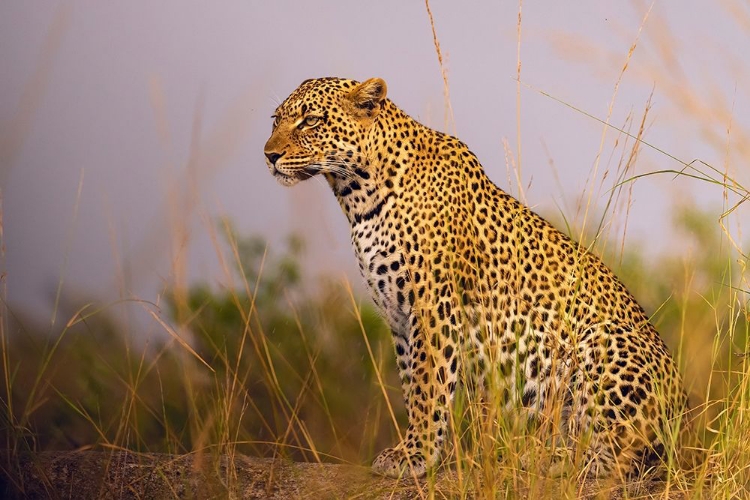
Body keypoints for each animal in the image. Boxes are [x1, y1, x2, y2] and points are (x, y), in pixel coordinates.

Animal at [262, 77, 688, 480]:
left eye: (310, 120)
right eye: (276, 120)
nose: (269, 156)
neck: (356, 195)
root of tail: (684, 422)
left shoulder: (433, 304)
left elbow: (428, 384)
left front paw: (414, 456)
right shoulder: (398, 317)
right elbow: (411, 384)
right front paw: (414, 450)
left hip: (602, 341)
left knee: (619, 454)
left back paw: (547, 457)